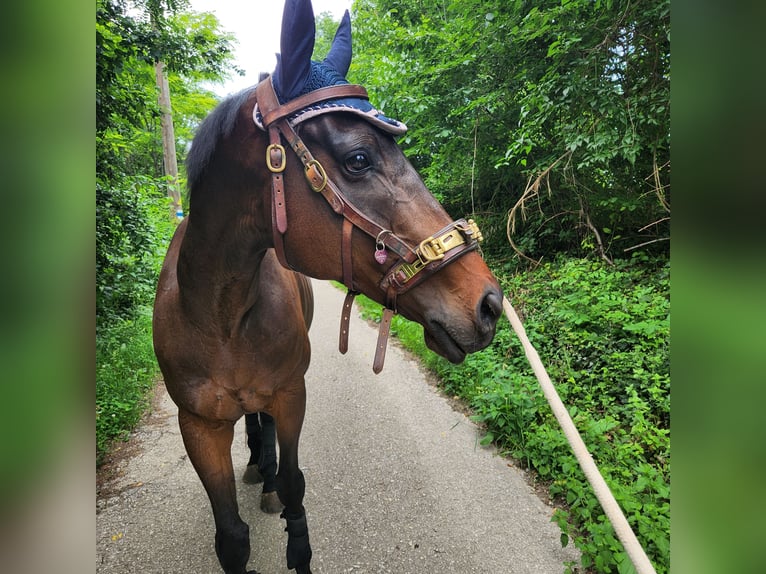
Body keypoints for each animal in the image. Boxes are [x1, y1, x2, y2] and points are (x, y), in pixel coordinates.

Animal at [154, 2, 504, 572]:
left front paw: (289, 521)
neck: (219, 315)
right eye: (358, 159)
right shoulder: (198, 426)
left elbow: (294, 484)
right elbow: (231, 535)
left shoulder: (291, 395)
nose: (490, 303)